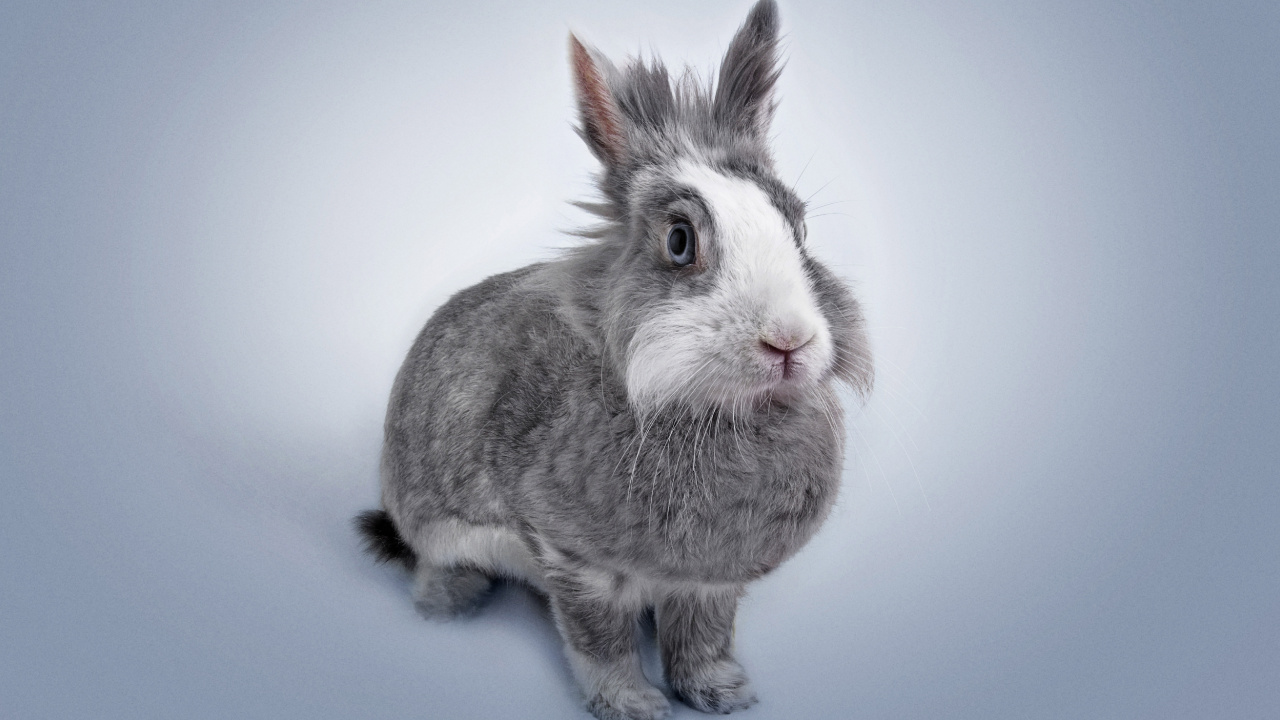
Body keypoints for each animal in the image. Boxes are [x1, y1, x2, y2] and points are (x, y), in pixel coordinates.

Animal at [356, 2, 872, 718]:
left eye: (798, 229)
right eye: (679, 241)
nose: (789, 341)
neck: (709, 410)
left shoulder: (709, 582)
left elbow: (703, 637)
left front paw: (723, 693)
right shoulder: (576, 562)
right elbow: (599, 643)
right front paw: (635, 705)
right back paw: (451, 606)